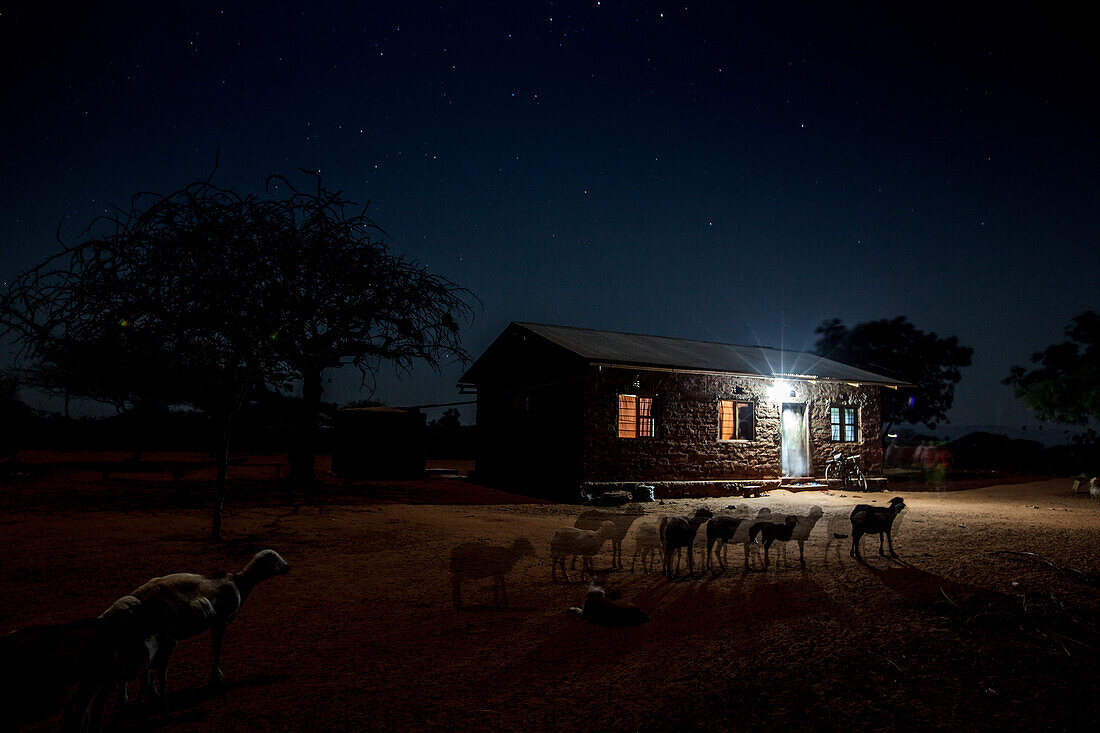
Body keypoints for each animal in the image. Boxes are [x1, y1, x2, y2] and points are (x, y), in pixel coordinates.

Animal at [128, 545, 290, 708]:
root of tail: (137, 595)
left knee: (146, 667)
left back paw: (153, 695)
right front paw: (217, 678)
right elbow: (217, 647)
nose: (287, 567)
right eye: (273, 557)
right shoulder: (221, 621)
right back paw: (157, 696)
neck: (240, 583)